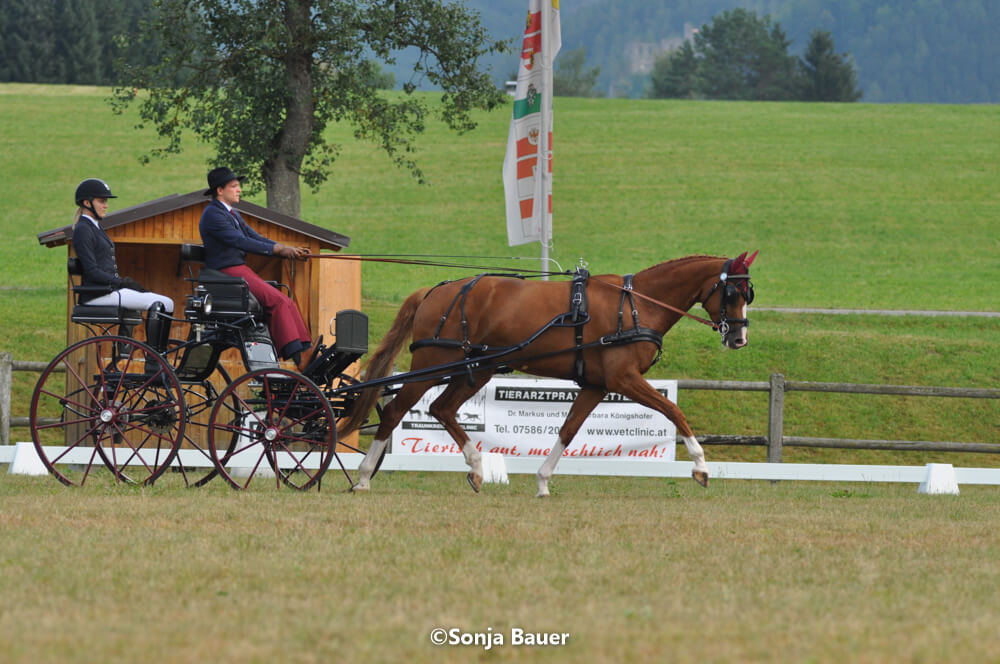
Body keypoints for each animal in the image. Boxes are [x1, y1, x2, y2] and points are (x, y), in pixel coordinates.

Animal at [338, 252, 756, 496]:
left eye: (747, 293)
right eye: (732, 293)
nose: (739, 338)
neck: (636, 307)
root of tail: (433, 291)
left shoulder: (595, 384)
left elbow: (568, 430)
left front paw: (542, 481)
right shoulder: (623, 379)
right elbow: (674, 412)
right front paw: (701, 466)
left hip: (477, 368)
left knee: (442, 409)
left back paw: (476, 468)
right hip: (431, 364)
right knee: (395, 411)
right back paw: (363, 476)